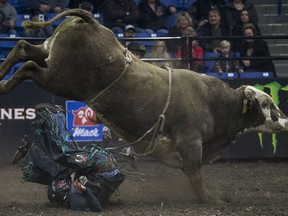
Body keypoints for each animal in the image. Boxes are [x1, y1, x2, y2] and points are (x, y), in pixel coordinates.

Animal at [0, 9, 288, 202]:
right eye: (266, 103)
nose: (285, 120)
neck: (215, 103)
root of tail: (91, 22)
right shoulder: (190, 141)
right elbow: (195, 173)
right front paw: (211, 200)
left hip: (50, 57)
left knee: (24, 48)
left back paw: (2, 76)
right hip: (60, 79)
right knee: (28, 66)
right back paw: (4, 85)